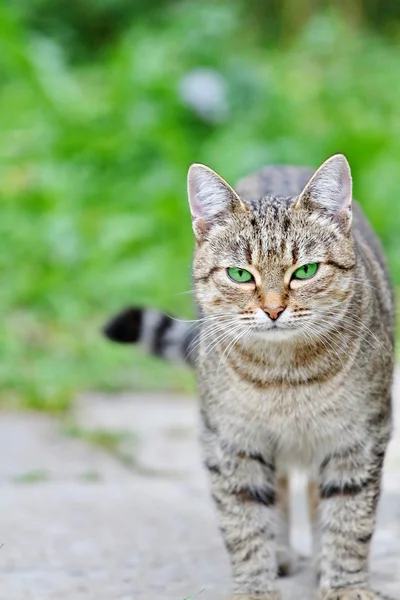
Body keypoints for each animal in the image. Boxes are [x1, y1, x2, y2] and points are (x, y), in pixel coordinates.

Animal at [103, 156, 394, 600]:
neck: (284, 376)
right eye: (240, 275)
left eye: (305, 271)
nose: (273, 310)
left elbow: (349, 521)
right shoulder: (230, 440)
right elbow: (245, 523)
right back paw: (282, 553)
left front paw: (345, 585)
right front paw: (256, 586)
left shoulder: (359, 437)